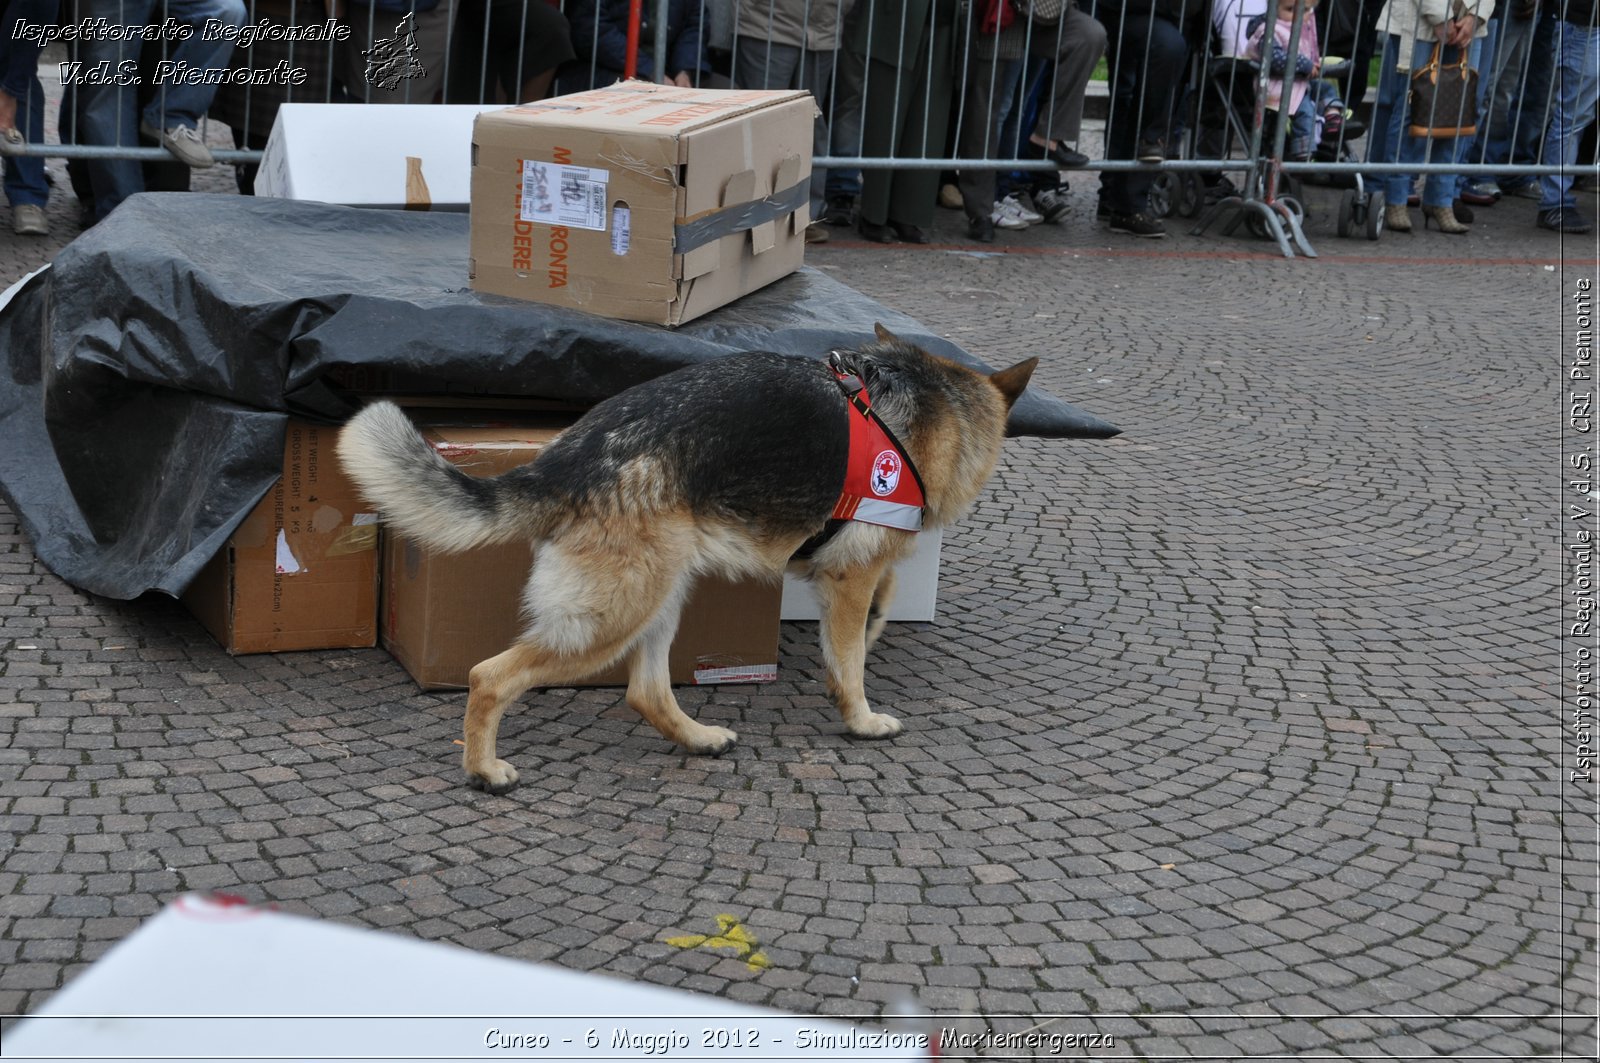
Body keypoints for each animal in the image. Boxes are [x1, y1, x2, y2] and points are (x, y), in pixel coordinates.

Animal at [339, 328, 1036, 794]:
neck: (938, 403)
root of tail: (567, 457)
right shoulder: (849, 577)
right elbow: (851, 665)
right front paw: (861, 719)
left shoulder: (857, 570)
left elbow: (875, 613)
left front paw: (876, 632)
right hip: (610, 617)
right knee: (489, 676)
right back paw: (485, 769)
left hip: (662, 596)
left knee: (646, 692)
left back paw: (699, 739)